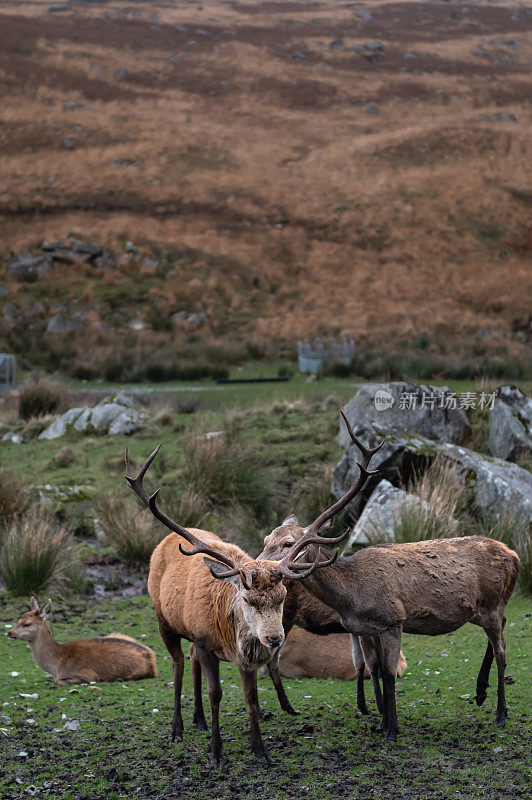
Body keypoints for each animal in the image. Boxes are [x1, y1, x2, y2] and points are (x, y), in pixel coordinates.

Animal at [7, 596, 156, 684]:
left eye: (27, 624)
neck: (56, 665)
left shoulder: (88, 675)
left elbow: (58, 681)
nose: (9, 632)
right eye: (18, 620)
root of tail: (152, 659)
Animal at [260, 412, 520, 744]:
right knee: (498, 635)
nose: (257, 565)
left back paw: (500, 713)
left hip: (493, 603)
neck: (352, 596)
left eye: (289, 543)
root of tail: (515, 556)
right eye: (267, 537)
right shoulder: (366, 628)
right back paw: (480, 693)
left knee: (502, 651)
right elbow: (375, 670)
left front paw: (392, 731)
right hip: (484, 610)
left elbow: (388, 674)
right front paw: (381, 723)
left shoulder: (393, 620)